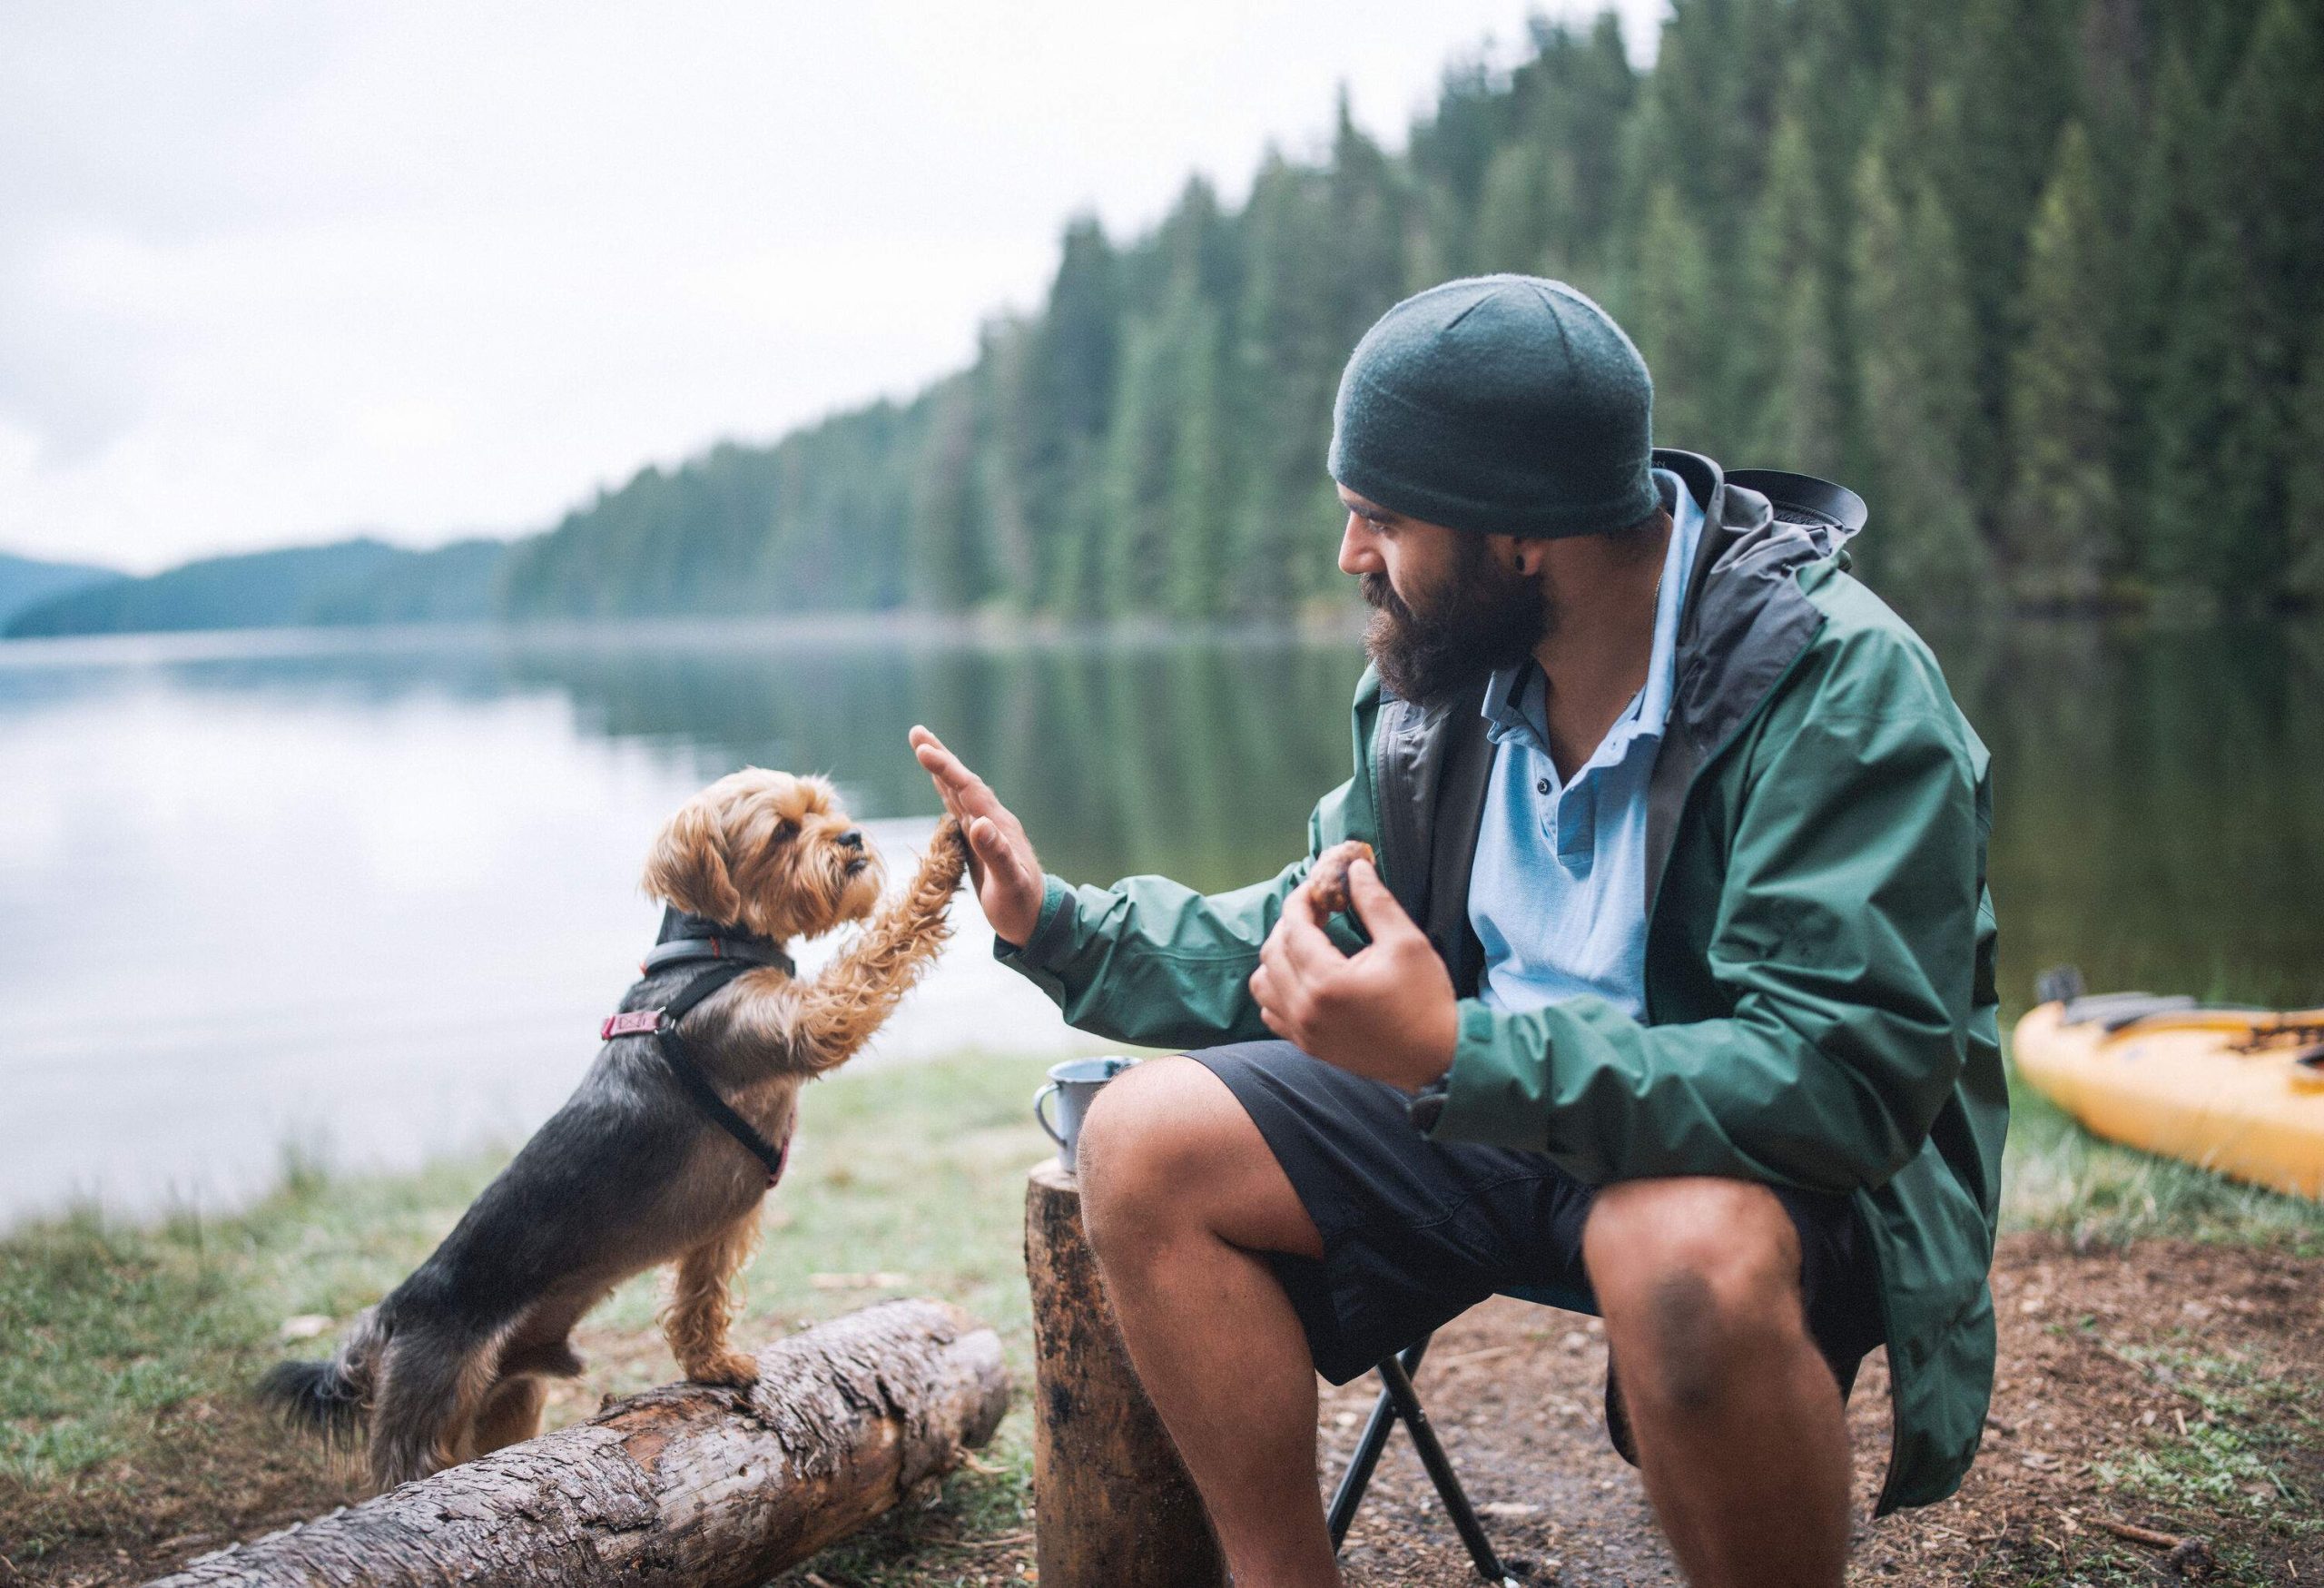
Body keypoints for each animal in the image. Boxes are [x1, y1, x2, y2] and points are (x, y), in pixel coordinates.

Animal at [261, 772, 961, 1487]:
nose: (852, 838)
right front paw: (948, 850)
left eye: (824, 808)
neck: (711, 953)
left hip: (510, 1398)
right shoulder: (807, 1022)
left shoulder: (718, 1228)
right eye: (783, 831)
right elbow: (879, 950)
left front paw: (711, 1363)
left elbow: (700, 1296)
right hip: (428, 1407)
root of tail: (391, 1313)